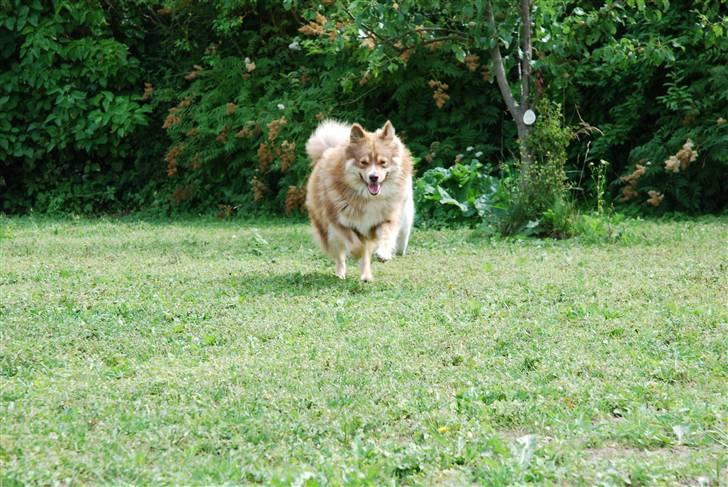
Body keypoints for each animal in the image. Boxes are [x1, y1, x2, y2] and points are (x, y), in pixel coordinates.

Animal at [302, 120, 416, 282]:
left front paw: (383, 254)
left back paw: (366, 276)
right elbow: (355, 245)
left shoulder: (385, 220)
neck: (368, 197)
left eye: (383, 162)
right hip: (328, 233)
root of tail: (327, 151)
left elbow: (386, 237)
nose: (374, 177)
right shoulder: (339, 223)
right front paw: (356, 253)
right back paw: (341, 274)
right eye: (363, 162)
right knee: (340, 256)